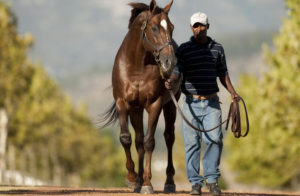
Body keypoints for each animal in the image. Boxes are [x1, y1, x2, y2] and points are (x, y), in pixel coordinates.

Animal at [101, 0, 180, 193]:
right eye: (154, 28)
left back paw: (168, 182)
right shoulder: (123, 103)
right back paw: (137, 180)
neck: (137, 66)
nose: (170, 63)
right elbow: (126, 138)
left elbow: (150, 141)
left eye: (172, 27)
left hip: (170, 106)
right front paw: (131, 178)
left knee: (168, 137)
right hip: (136, 110)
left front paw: (147, 183)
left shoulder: (155, 104)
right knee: (138, 140)